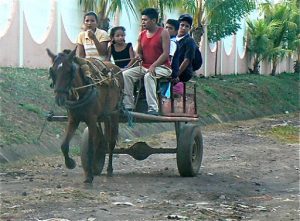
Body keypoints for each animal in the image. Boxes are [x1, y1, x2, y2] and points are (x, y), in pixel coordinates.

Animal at [44, 48, 124, 183]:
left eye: (69, 71)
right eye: (52, 71)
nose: (59, 99)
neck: (82, 91)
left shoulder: (91, 119)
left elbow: (91, 147)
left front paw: (89, 175)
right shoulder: (73, 119)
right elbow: (64, 145)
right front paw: (70, 163)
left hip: (115, 114)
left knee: (111, 142)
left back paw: (109, 169)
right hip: (106, 115)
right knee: (105, 139)